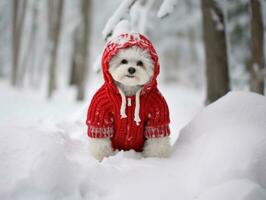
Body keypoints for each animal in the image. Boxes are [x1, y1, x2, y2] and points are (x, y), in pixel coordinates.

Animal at [86, 32, 171, 161]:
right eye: (124, 61)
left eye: (140, 63)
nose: (131, 69)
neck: (129, 94)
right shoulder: (100, 115)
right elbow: (101, 142)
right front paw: (102, 158)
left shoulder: (157, 116)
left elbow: (157, 141)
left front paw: (155, 160)